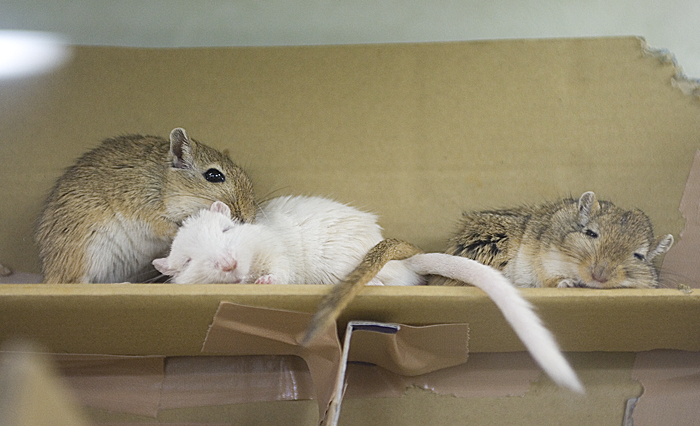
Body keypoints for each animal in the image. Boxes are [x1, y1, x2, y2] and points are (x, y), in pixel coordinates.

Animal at [35, 128, 256, 284]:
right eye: (214, 175)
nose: (249, 218)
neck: (164, 185)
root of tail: (48, 273)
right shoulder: (148, 213)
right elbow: (170, 228)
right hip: (86, 251)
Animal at [155, 195, 583, 393]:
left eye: (227, 231)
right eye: (189, 260)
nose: (229, 266)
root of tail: (407, 264)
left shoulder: (275, 253)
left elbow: (278, 270)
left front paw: (264, 283)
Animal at [435, 191, 674, 289]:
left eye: (639, 256)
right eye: (591, 233)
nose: (600, 276)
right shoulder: (545, 261)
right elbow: (550, 278)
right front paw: (567, 283)